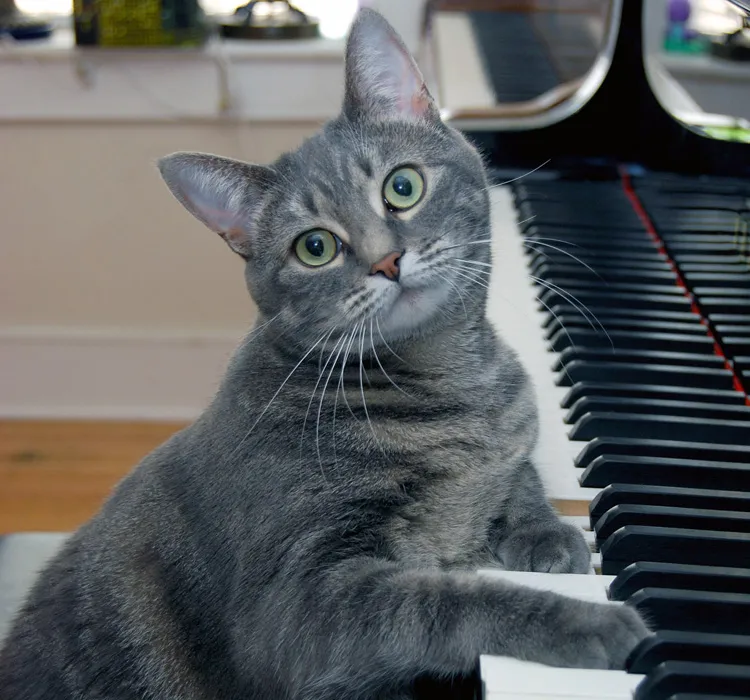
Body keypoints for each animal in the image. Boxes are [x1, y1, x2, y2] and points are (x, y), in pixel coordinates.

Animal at [0, 6, 648, 700]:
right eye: (315, 247)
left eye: (403, 186)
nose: (387, 262)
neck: (450, 380)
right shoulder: (304, 602)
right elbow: (451, 604)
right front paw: (588, 620)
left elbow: (520, 471)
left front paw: (544, 531)